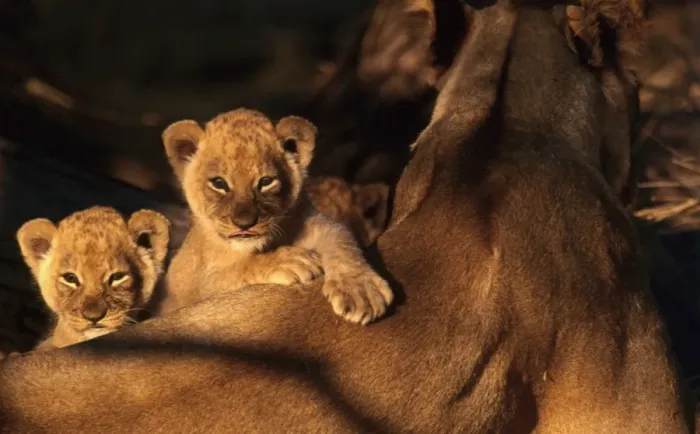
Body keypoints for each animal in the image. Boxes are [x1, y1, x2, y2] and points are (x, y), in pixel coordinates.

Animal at [157, 109, 393, 324]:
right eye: (218, 183)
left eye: (266, 182)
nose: (244, 223)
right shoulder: (196, 290)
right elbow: (235, 270)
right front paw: (288, 261)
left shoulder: (315, 222)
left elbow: (341, 240)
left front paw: (360, 290)